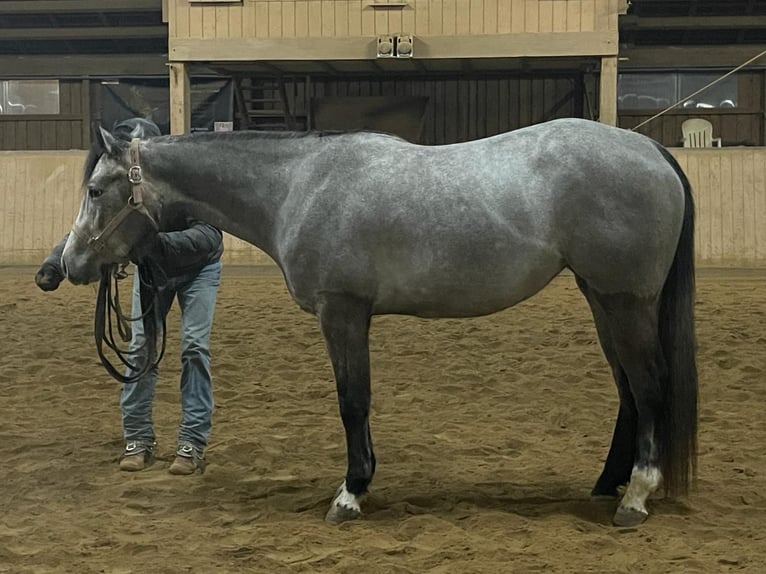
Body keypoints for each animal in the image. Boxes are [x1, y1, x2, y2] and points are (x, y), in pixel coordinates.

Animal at [60, 118, 696, 532]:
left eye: (95, 189)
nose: (68, 265)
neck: (297, 185)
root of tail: (652, 149)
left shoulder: (342, 311)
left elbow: (353, 401)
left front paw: (350, 494)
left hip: (625, 302)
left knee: (650, 388)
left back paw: (636, 498)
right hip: (602, 299)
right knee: (628, 392)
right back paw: (610, 483)